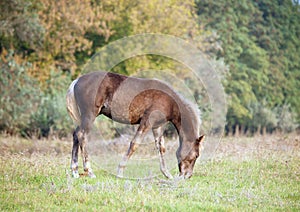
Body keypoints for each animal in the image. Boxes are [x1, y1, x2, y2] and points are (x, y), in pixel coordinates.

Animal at [66, 71, 205, 179]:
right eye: (196, 155)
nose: (187, 176)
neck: (170, 102)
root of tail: (77, 81)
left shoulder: (157, 126)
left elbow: (161, 148)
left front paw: (167, 174)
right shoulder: (147, 122)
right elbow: (134, 144)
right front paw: (120, 171)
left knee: (75, 135)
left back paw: (75, 171)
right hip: (90, 115)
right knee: (81, 135)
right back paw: (89, 171)